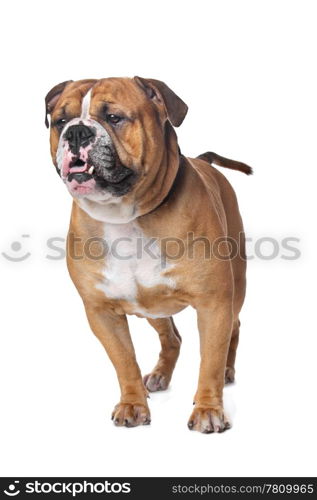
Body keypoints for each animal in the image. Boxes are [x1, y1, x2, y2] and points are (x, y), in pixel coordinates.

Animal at [45, 78, 252, 434]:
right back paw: (158, 376)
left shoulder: (213, 305)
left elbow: (209, 361)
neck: (126, 218)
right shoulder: (102, 313)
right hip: (152, 307)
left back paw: (227, 370)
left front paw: (209, 409)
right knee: (172, 338)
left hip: (236, 288)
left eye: (114, 117)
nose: (77, 132)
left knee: (233, 328)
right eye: (61, 121)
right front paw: (132, 403)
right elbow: (124, 361)